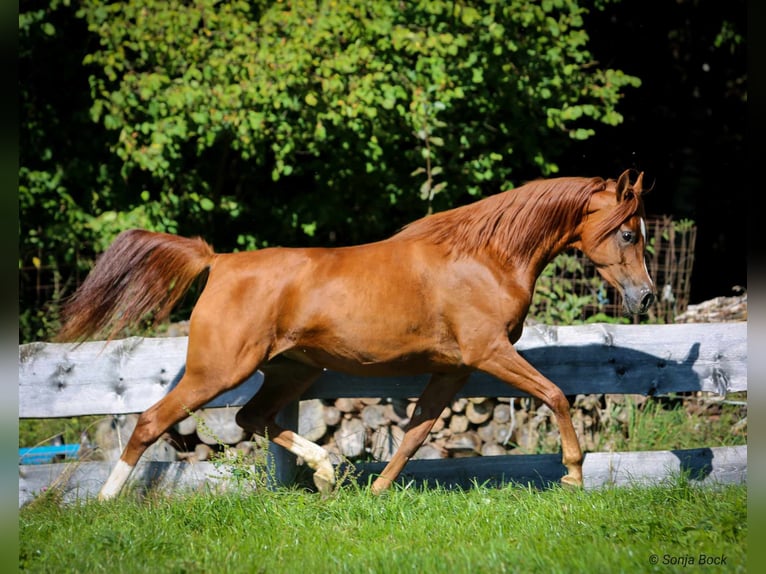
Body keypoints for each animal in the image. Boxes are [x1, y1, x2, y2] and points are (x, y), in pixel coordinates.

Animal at [57, 170, 656, 500]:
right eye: (629, 233)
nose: (646, 297)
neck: (484, 258)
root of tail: (219, 261)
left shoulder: (455, 368)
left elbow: (415, 433)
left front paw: (376, 490)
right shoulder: (490, 352)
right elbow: (556, 394)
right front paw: (574, 477)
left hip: (294, 369)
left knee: (253, 418)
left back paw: (327, 472)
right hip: (218, 370)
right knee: (151, 421)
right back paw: (106, 502)